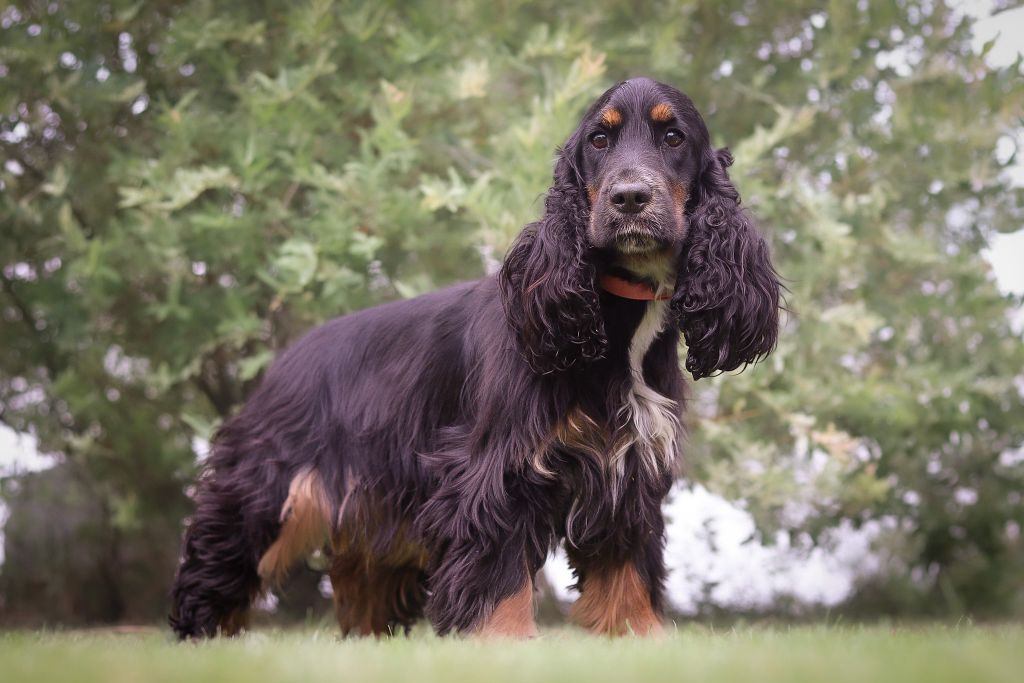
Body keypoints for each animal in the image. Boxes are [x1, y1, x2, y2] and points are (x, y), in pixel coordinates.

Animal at [167, 77, 778, 638]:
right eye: (599, 140)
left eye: (673, 136)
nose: (629, 197)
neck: (617, 315)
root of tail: (286, 358)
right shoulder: (494, 467)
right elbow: (497, 574)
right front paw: (502, 646)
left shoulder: (628, 468)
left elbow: (627, 573)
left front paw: (641, 639)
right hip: (271, 489)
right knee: (218, 566)